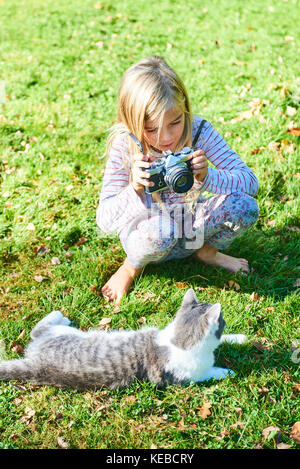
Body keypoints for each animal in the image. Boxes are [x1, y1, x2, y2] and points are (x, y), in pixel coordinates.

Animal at [0, 288, 247, 388]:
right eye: (222, 320)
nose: (226, 321)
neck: (178, 341)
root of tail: (35, 365)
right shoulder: (185, 377)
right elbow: (210, 373)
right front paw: (227, 371)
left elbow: (223, 341)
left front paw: (238, 337)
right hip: (62, 334)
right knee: (37, 329)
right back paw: (60, 315)